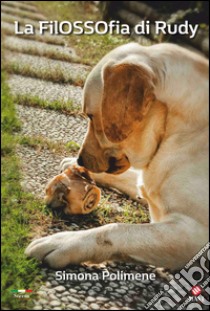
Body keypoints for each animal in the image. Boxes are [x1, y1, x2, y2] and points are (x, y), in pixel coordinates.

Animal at [25, 43, 208, 270]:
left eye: (91, 116)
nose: (80, 160)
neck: (173, 130)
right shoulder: (147, 188)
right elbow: (128, 178)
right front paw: (74, 167)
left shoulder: (194, 233)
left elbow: (114, 230)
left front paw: (62, 242)